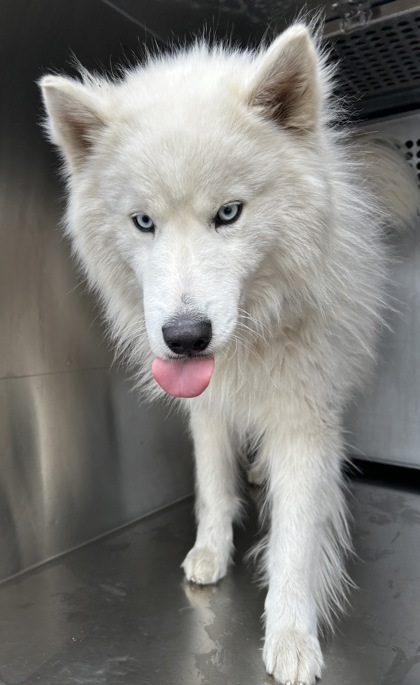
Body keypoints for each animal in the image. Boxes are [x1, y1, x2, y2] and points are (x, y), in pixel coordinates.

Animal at [38, 22, 416, 684]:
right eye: (143, 222)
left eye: (229, 213)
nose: (186, 336)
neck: (251, 339)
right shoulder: (209, 409)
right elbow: (213, 487)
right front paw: (210, 552)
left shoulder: (303, 418)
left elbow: (296, 538)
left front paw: (290, 636)